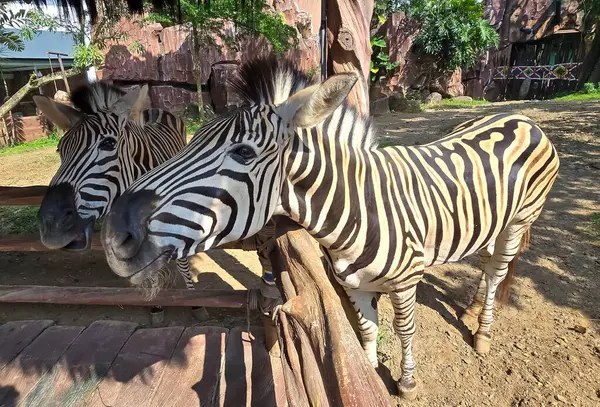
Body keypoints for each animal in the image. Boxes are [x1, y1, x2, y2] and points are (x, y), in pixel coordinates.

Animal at [101, 59, 560, 400]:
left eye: (244, 153)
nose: (112, 234)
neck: (356, 209)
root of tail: (518, 114)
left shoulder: (406, 280)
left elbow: (404, 329)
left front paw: (407, 382)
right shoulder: (353, 281)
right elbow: (365, 329)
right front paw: (370, 370)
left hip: (520, 221)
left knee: (498, 269)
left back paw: (482, 332)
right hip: (491, 221)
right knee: (486, 263)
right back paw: (470, 308)